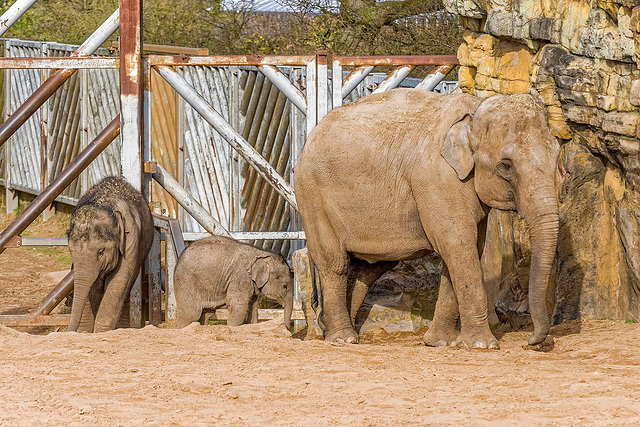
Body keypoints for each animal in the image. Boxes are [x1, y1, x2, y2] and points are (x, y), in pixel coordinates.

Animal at [66, 176, 154, 332]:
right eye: (71, 251)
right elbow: (92, 287)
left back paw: (122, 328)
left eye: (101, 251)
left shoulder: (131, 240)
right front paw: (86, 332)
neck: (104, 205)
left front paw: (101, 331)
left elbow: (118, 281)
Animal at [296, 89, 560, 348]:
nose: (531, 341)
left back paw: (334, 328)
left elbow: (468, 248)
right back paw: (342, 338)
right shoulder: (438, 179)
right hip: (312, 197)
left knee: (368, 268)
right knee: (335, 263)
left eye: (557, 156)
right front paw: (480, 345)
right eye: (505, 165)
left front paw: (441, 342)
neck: (474, 108)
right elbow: (457, 245)